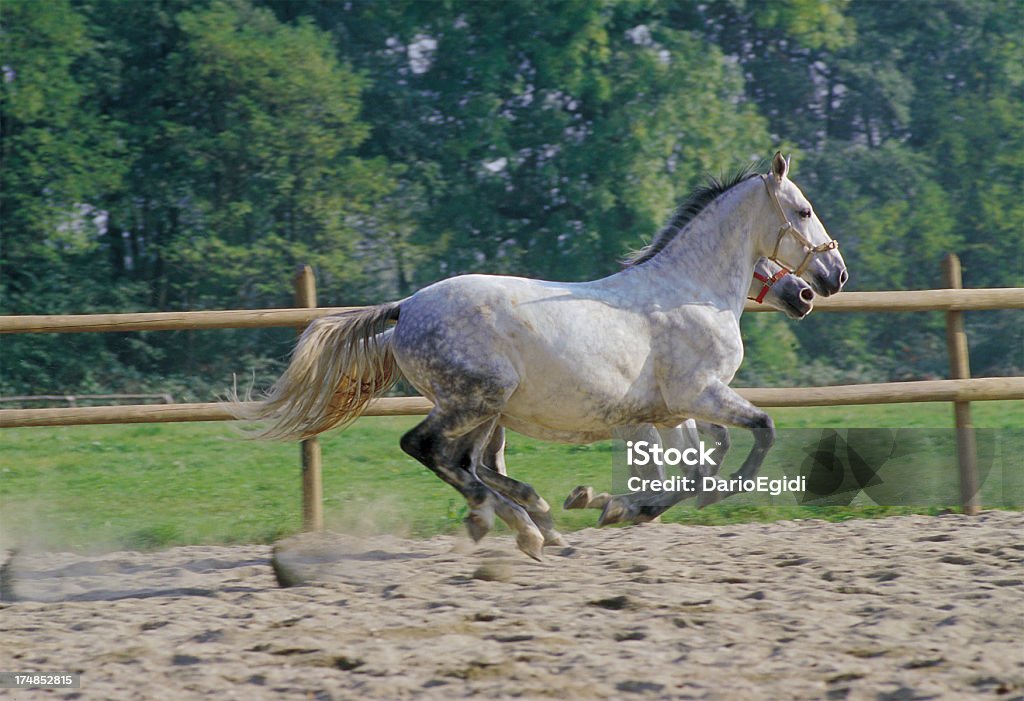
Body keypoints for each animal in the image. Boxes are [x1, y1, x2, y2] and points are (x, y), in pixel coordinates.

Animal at [234, 153, 847, 556]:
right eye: (803, 210)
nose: (826, 280)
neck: (690, 291)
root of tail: (405, 308)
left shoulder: (675, 411)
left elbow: (696, 469)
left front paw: (612, 505)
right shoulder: (699, 395)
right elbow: (759, 431)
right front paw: (626, 505)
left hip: (484, 409)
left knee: (468, 463)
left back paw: (526, 523)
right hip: (476, 398)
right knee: (429, 450)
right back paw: (520, 526)